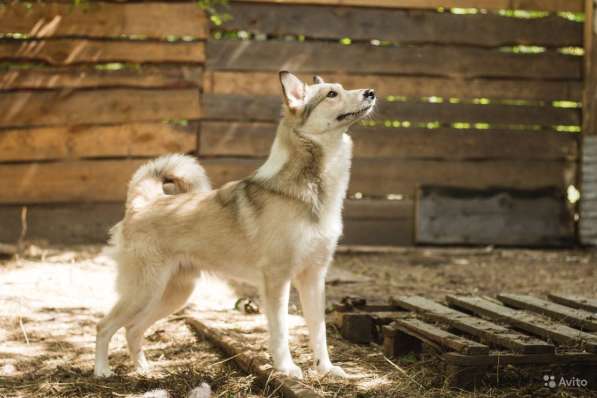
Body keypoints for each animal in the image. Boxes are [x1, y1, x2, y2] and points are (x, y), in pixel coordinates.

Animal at [93, 71, 374, 380]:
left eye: (342, 88)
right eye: (332, 94)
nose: (371, 92)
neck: (308, 189)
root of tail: (143, 202)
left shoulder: (314, 277)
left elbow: (319, 331)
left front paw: (326, 369)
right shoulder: (277, 280)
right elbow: (281, 332)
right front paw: (286, 368)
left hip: (172, 294)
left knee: (133, 329)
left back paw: (144, 370)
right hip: (144, 290)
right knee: (104, 326)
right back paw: (102, 371)